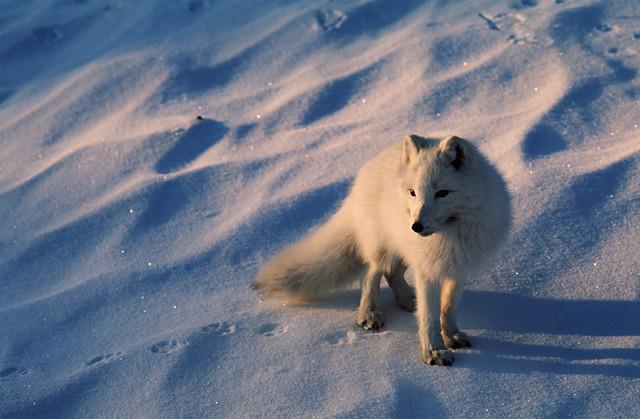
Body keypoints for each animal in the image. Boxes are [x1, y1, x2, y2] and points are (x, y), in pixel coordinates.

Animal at [252, 135, 512, 368]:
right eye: (413, 192)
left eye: (442, 193)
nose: (416, 226)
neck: (451, 233)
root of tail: (363, 174)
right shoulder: (426, 270)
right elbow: (428, 316)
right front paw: (434, 352)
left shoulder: (459, 269)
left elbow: (448, 308)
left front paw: (452, 336)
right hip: (381, 247)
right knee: (370, 273)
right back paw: (369, 313)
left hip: (400, 249)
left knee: (392, 272)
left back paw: (407, 300)